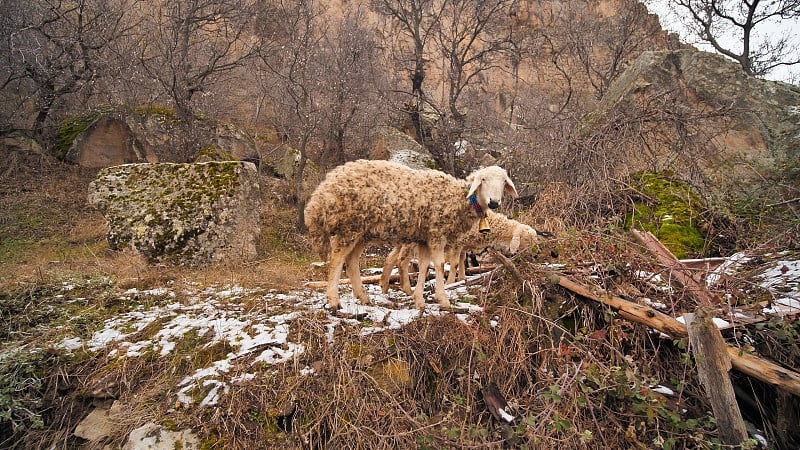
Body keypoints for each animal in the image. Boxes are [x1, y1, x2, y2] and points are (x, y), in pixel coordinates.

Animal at [302, 160, 520, 312]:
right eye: (483, 180)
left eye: (503, 182)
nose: (494, 202)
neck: (460, 199)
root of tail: (321, 192)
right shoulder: (437, 233)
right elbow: (439, 265)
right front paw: (443, 300)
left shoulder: (424, 238)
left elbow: (423, 266)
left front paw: (419, 300)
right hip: (349, 226)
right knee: (337, 260)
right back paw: (334, 300)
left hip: (361, 231)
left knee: (352, 261)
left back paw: (362, 296)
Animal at [380, 212, 540, 296]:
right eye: (527, 239)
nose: (537, 255)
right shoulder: (457, 243)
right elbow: (455, 263)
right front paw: (450, 282)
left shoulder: (463, 245)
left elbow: (462, 261)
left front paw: (462, 278)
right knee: (401, 260)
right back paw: (407, 289)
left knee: (390, 258)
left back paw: (384, 286)